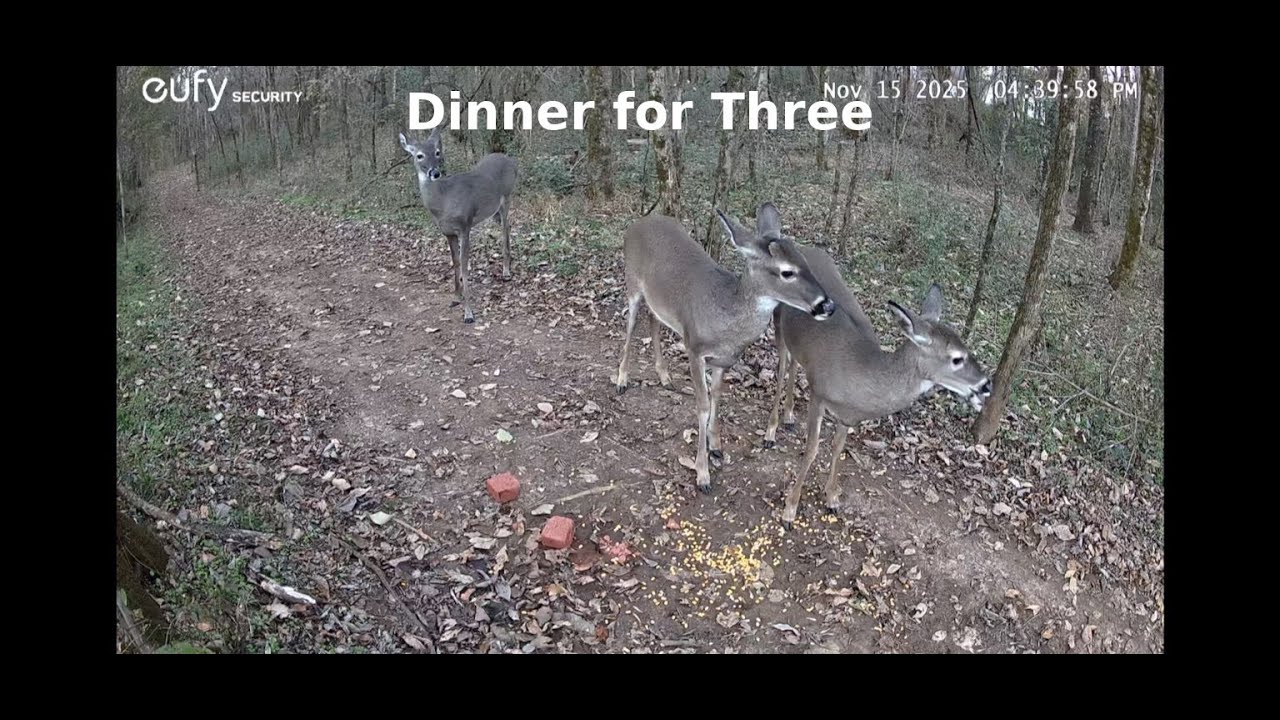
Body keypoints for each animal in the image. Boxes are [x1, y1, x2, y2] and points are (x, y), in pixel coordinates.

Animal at [398, 127, 517, 324]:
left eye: (437, 152)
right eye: (419, 155)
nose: (435, 173)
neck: (444, 201)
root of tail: (511, 160)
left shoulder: (464, 226)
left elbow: (464, 266)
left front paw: (468, 313)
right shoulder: (448, 232)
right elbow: (455, 262)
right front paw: (455, 298)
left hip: (507, 197)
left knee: (505, 228)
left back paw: (506, 272)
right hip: (493, 211)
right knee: (506, 226)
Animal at [615, 202, 836, 493]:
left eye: (806, 263)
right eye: (787, 271)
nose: (827, 305)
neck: (724, 316)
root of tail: (637, 223)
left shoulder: (722, 360)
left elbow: (717, 397)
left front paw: (716, 445)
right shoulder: (694, 347)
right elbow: (702, 405)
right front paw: (702, 473)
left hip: (658, 299)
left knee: (653, 319)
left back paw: (664, 377)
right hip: (631, 282)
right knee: (630, 324)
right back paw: (621, 380)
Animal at [762, 244, 992, 527]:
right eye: (957, 358)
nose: (986, 384)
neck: (862, 375)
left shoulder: (848, 415)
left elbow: (838, 447)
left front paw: (832, 498)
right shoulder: (819, 394)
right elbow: (812, 449)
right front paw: (790, 510)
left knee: (795, 363)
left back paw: (789, 416)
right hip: (777, 319)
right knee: (782, 367)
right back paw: (771, 432)